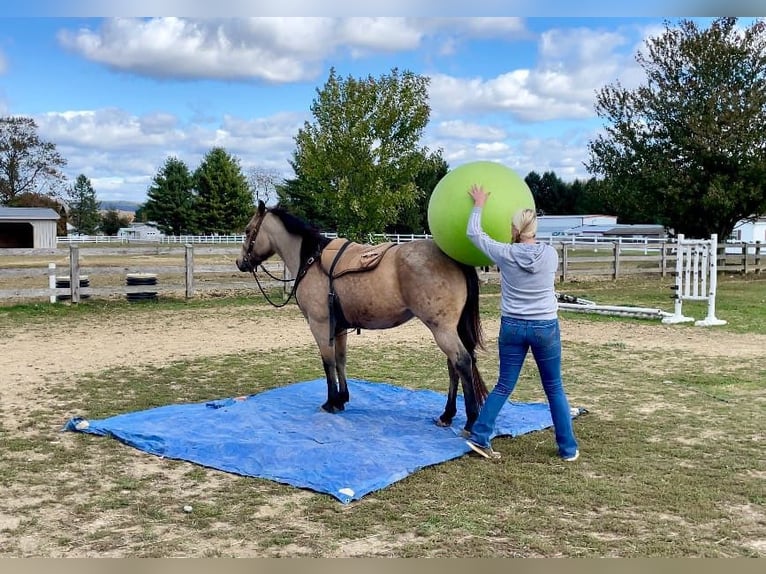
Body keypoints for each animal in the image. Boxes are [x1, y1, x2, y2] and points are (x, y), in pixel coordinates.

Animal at [234, 201, 488, 432]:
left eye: (247, 230)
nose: (240, 263)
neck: (311, 261)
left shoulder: (320, 325)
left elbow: (327, 362)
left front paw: (330, 402)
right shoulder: (338, 328)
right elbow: (340, 360)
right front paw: (342, 399)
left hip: (442, 329)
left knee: (462, 362)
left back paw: (470, 420)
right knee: (453, 365)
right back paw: (447, 415)